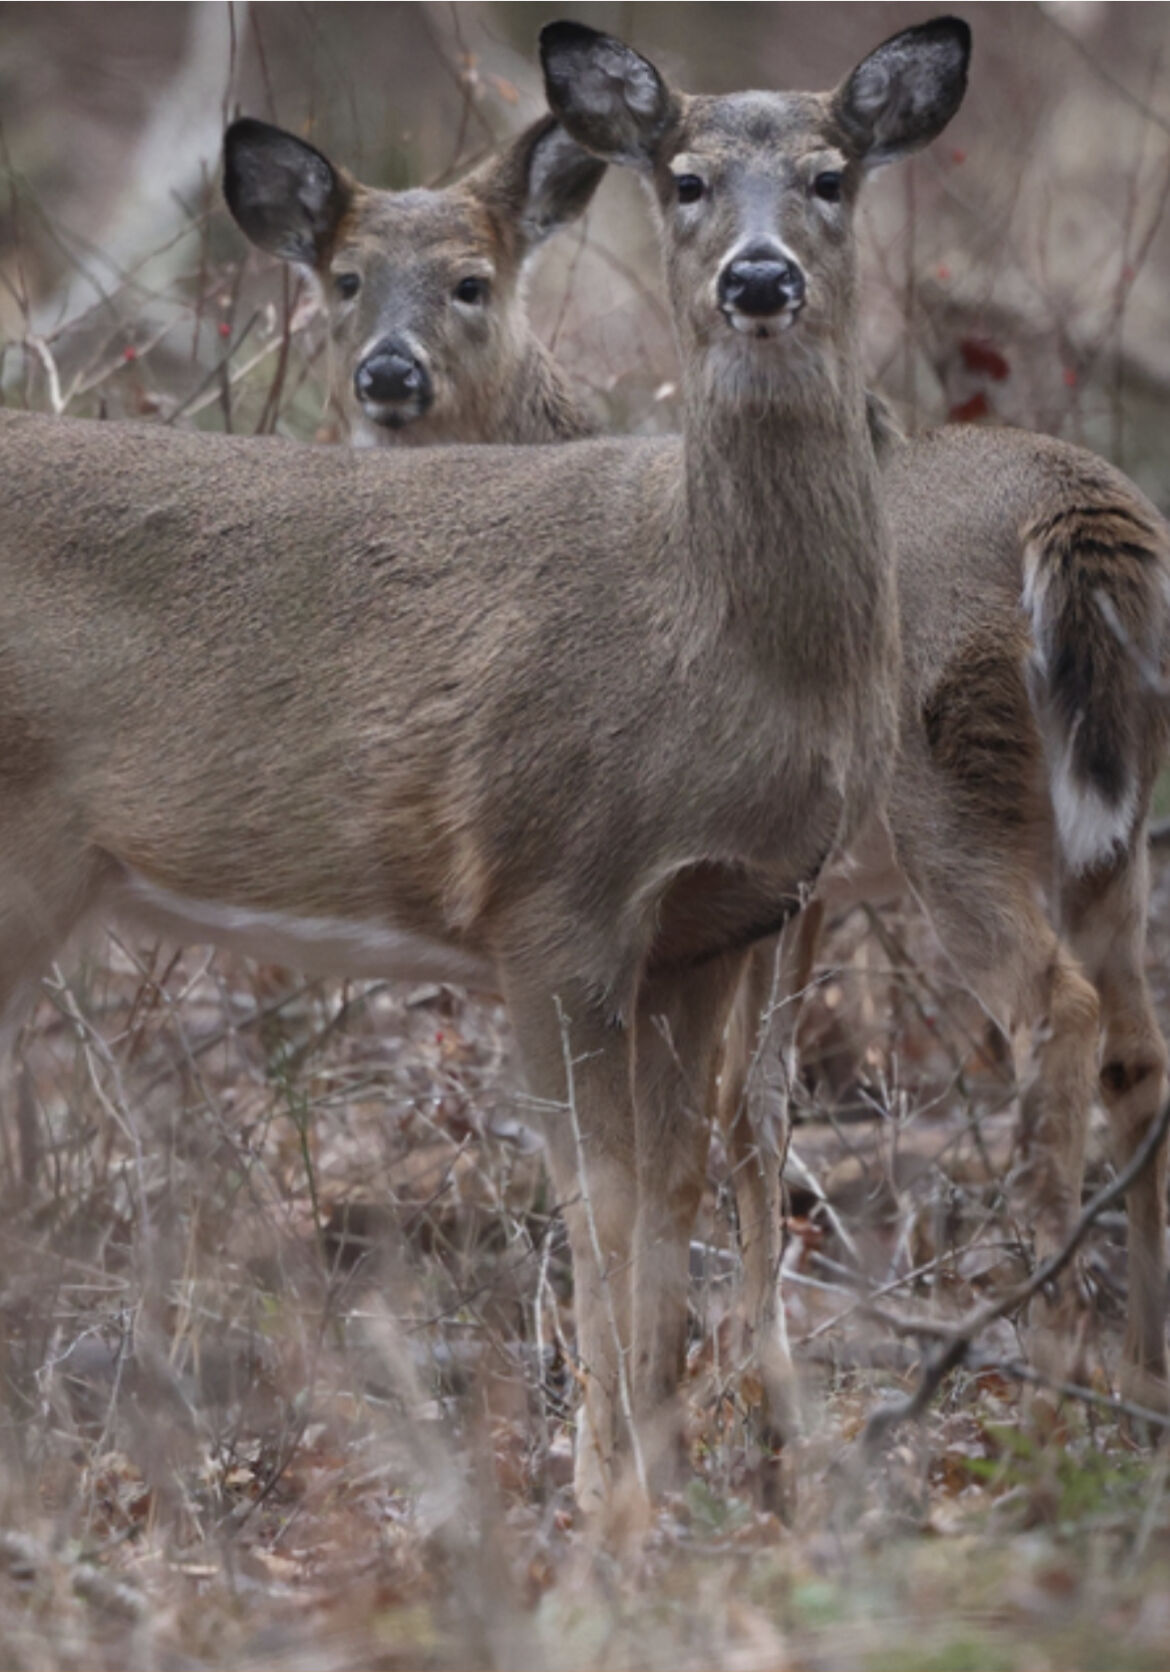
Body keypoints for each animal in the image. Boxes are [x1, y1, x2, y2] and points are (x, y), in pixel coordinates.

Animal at [0, 13, 976, 1511]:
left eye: (832, 175)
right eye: (683, 178)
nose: (759, 278)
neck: (709, 636)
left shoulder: (717, 919)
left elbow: (677, 1189)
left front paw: (671, 1482)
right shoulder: (549, 892)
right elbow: (600, 1203)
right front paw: (608, 1504)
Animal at [228, 35, 1170, 1451]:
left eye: (472, 281)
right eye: (343, 279)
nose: (387, 376)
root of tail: (1080, 511)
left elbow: (707, 1120)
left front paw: (704, 1393)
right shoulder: (786, 890)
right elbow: (752, 1109)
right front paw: (753, 1386)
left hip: (957, 804)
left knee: (1054, 1010)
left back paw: (1052, 1371)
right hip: (1111, 833)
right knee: (1138, 1049)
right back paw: (1141, 1368)